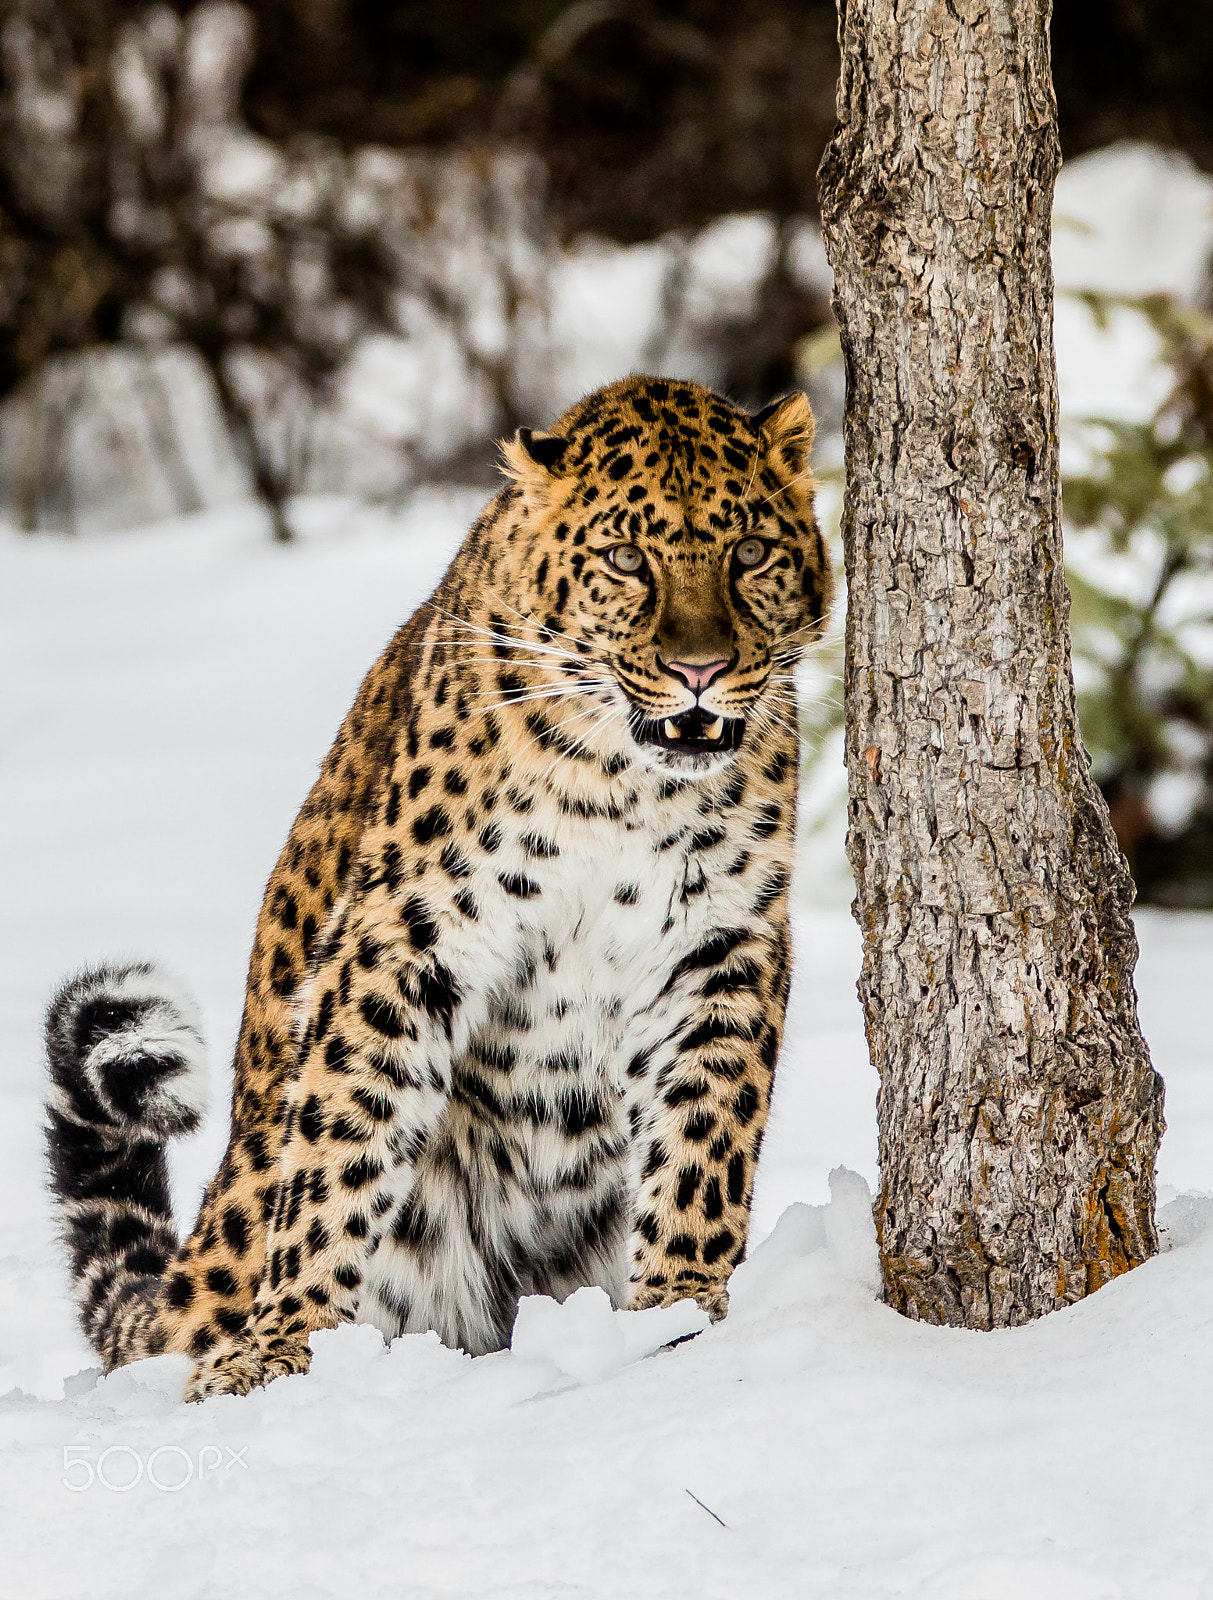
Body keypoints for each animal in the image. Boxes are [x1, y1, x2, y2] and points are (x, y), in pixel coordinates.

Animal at [44, 374, 832, 1401]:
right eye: (626, 560)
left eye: (749, 553)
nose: (698, 670)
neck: (627, 789)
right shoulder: (408, 933)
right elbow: (337, 1147)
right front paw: (277, 1349)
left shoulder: (720, 944)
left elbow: (706, 1132)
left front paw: (680, 1313)